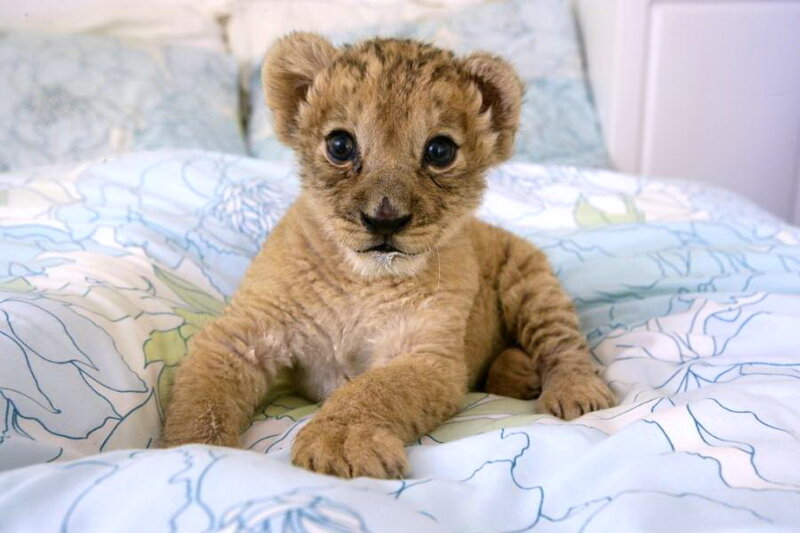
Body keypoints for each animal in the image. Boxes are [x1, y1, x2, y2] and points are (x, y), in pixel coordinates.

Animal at [162, 33, 615, 478]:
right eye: (340, 145)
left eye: (439, 151)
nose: (384, 220)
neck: (361, 280)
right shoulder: (240, 336)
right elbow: (202, 402)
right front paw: (197, 453)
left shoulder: (427, 355)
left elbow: (374, 389)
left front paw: (339, 443)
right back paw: (519, 374)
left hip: (531, 281)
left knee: (563, 343)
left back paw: (574, 392)